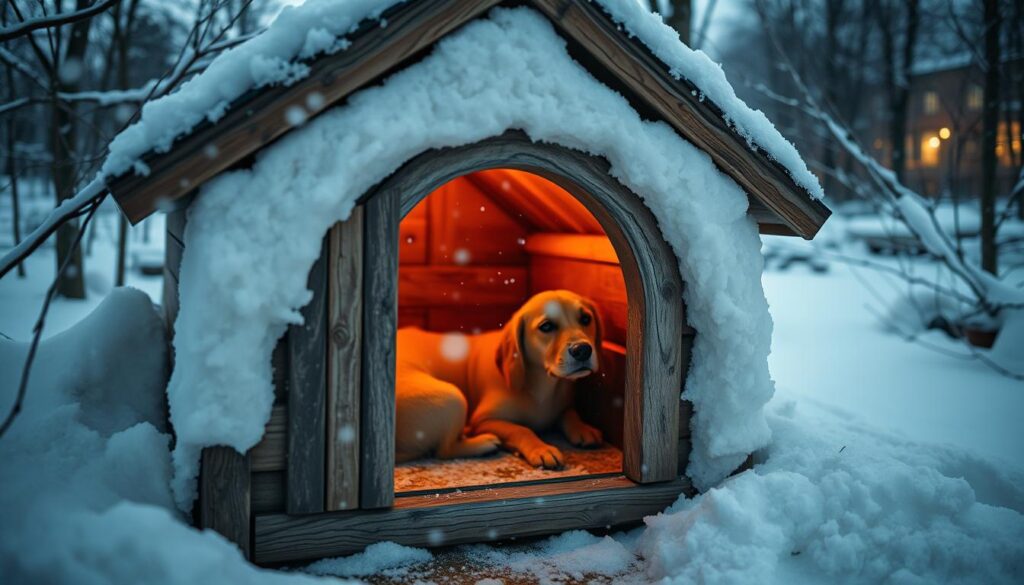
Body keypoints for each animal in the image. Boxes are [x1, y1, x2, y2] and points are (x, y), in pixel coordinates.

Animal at [395, 290, 602, 469]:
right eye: (546, 326)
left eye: (586, 319)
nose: (582, 350)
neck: (543, 386)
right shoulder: (484, 420)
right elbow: (520, 429)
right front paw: (541, 448)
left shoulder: (563, 404)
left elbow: (569, 412)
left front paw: (583, 428)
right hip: (453, 397)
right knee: (444, 450)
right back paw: (484, 442)